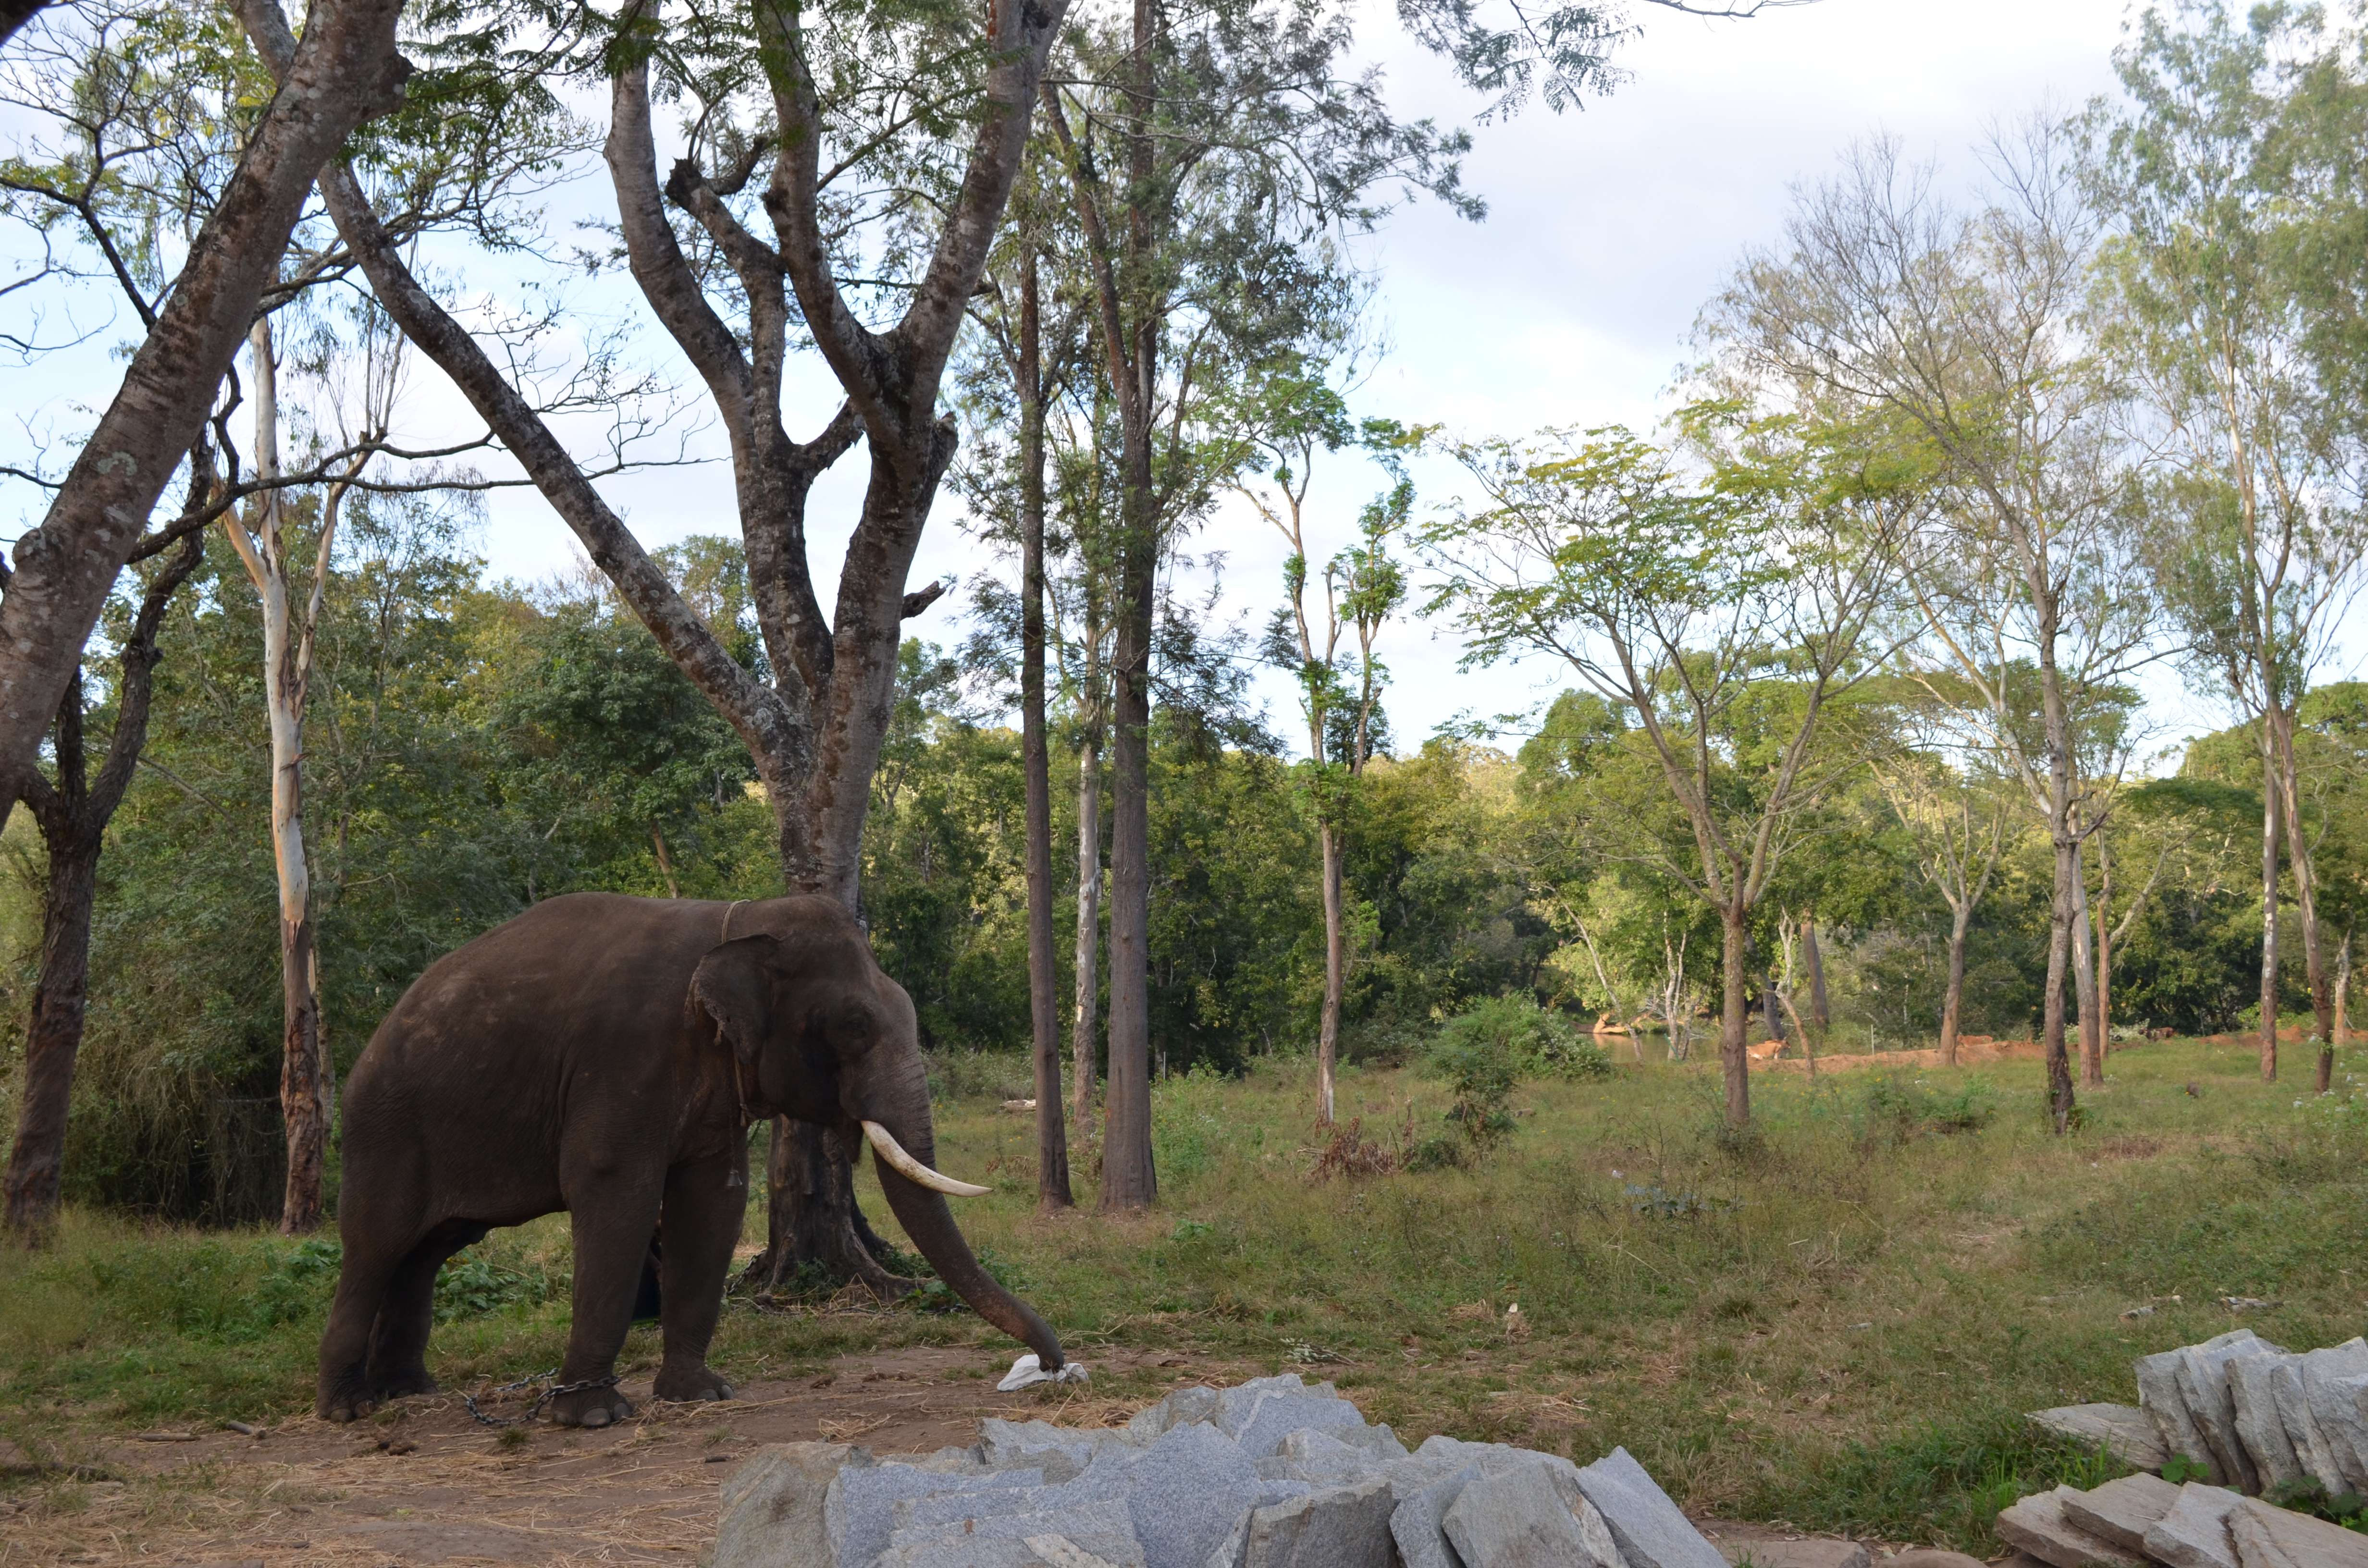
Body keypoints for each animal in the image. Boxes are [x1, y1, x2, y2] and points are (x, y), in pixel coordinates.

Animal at [315, 892, 1063, 1426]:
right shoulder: (622, 1058)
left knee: (428, 1251)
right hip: (385, 1130)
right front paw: (592, 1417)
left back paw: (409, 1392)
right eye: (853, 1027)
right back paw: (349, 1409)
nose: (1052, 1365)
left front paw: (701, 1396)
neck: (738, 921)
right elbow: (616, 1195)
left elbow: (713, 1202)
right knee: (377, 1245)